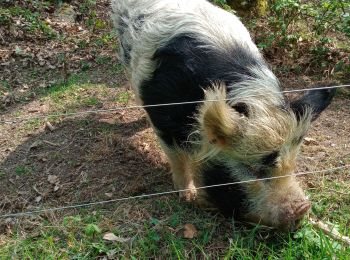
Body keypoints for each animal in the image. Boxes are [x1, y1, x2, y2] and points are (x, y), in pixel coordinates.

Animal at [111, 0, 334, 230]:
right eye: (251, 169)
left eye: (292, 163)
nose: (302, 208)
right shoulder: (163, 119)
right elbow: (177, 158)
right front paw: (189, 197)